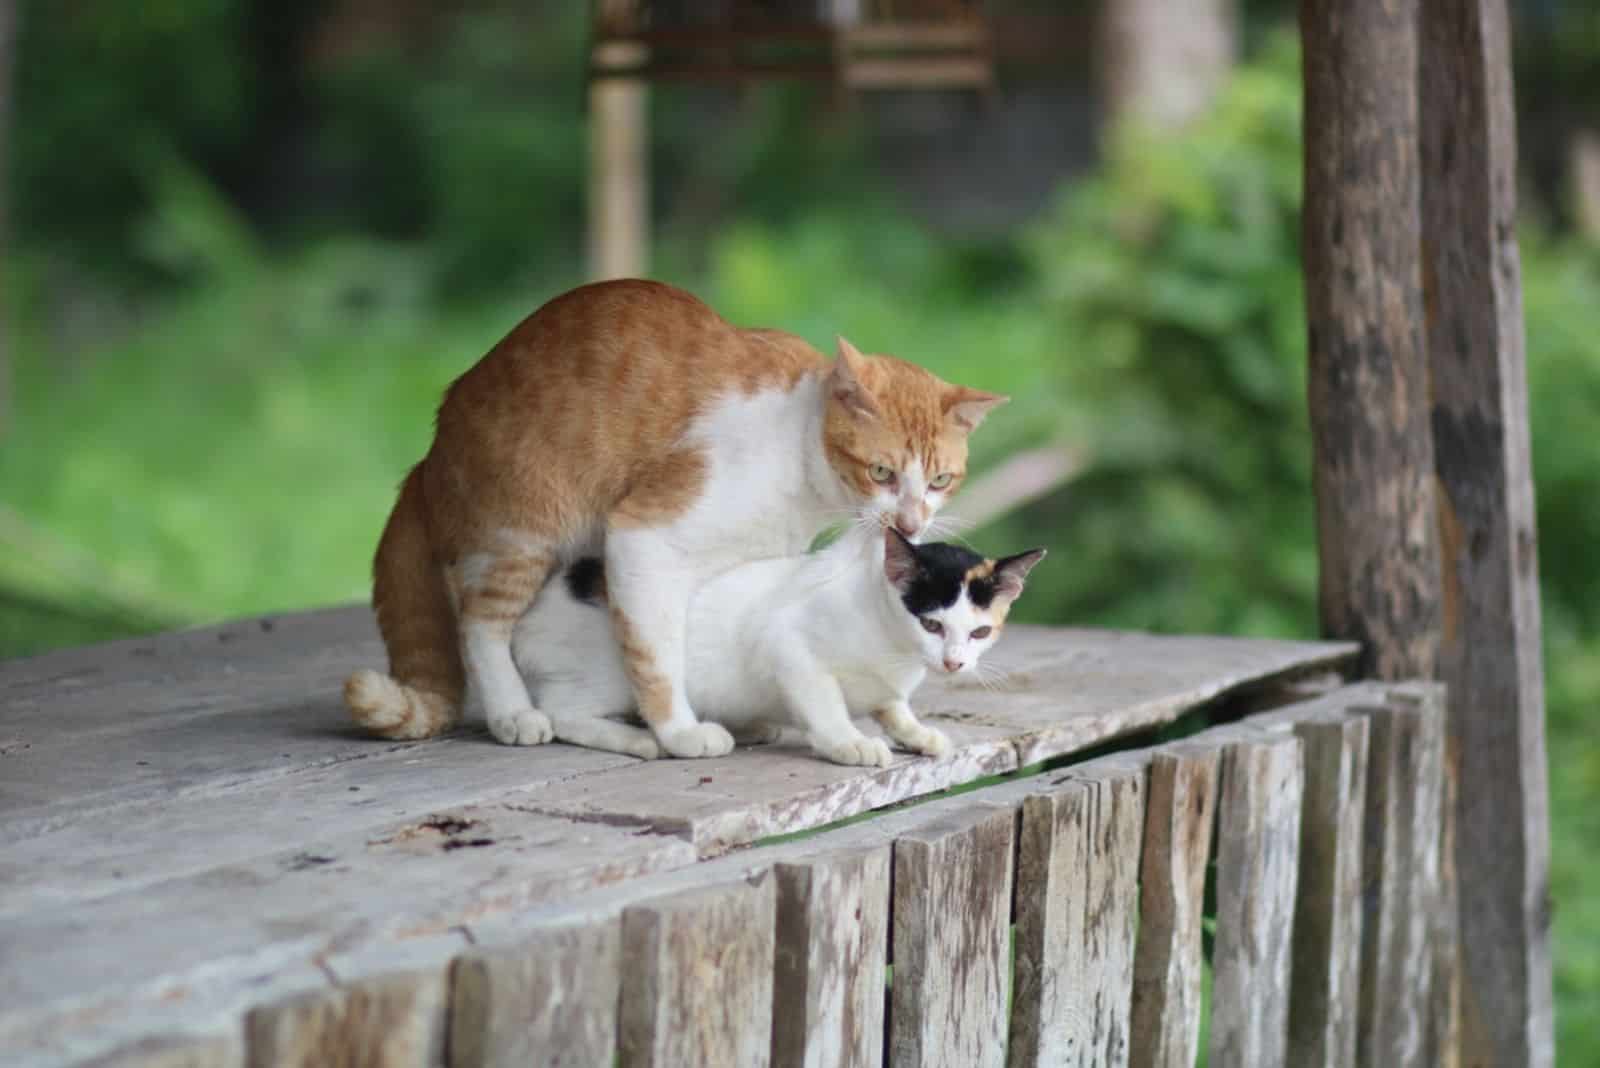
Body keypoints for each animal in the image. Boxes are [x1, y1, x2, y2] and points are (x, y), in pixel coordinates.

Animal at [345, 279, 1004, 754]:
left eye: (940, 480)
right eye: (881, 472)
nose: (912, 522)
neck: (798, 456)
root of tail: (429, 454)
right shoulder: (646, 538)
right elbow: (657, 653)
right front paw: (680, 730)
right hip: (525, 535)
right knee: (481, 625)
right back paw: (516, 713)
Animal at [505, 524, 1043, 767]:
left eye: (979, 633)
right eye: (931, 624)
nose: (953, 663)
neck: (893, 644)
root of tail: (535, 609)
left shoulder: (886, 683)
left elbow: (891, 705)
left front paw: (914, 731)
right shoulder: (788, 645)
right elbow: (825, 703)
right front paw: (848, 741)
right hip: (612, 671)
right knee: (562, 713)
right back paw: (637, 738)